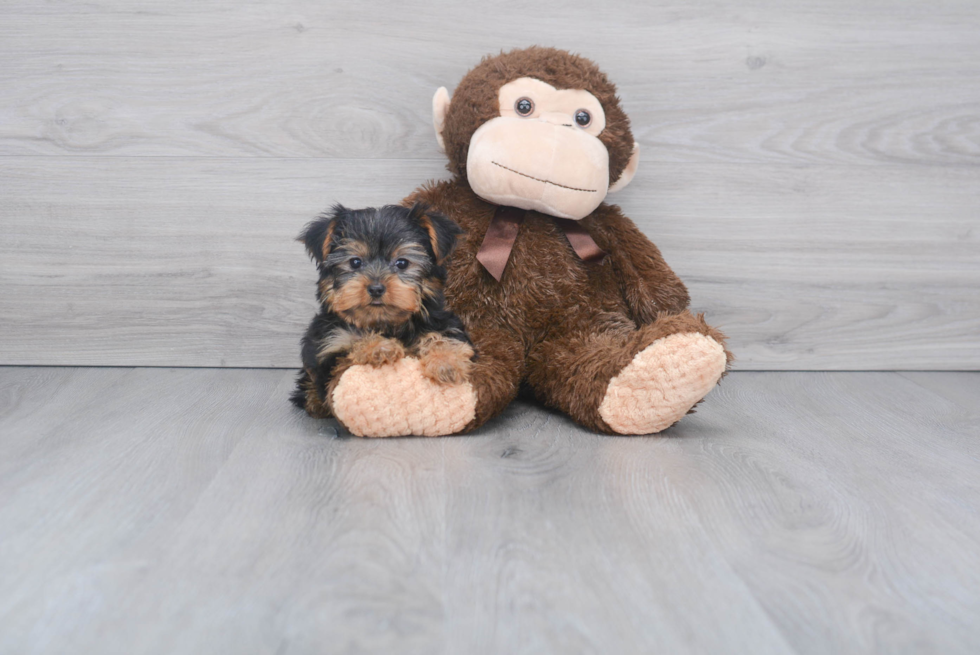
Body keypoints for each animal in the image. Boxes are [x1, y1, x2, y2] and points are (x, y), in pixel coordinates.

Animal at [290, 204, 474, 420]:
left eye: (402, 263)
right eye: (355, 262)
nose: (376, 288)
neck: (385, 323)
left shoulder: (444, 322)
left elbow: (443, 336)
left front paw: (446, 363)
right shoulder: (330, 345)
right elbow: (349, 349)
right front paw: (379, 347)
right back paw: (314, 401)